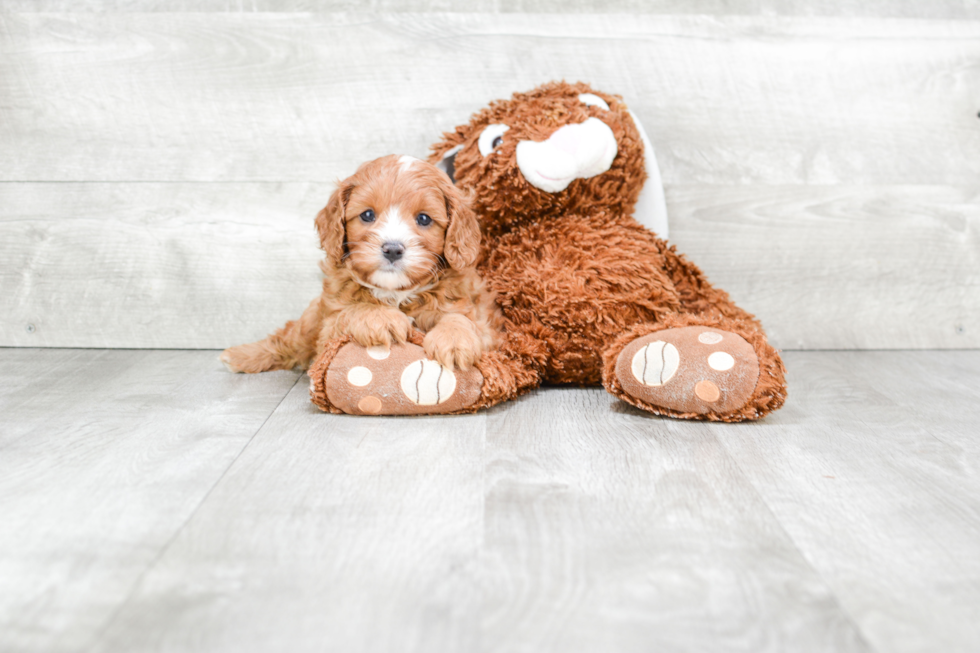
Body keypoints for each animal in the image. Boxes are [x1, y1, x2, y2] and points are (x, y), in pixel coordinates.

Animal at [222, 153, 498, 374]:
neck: (396, 293)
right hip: (310, 322)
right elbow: (353, 310)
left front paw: (455, 341)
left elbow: (461, 318)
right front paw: (382, 318)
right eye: (367, 215)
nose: (392, 249)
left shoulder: (481, 321)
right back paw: (240, 355)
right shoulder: (329, 328)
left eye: (424, 219)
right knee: (287, 339)